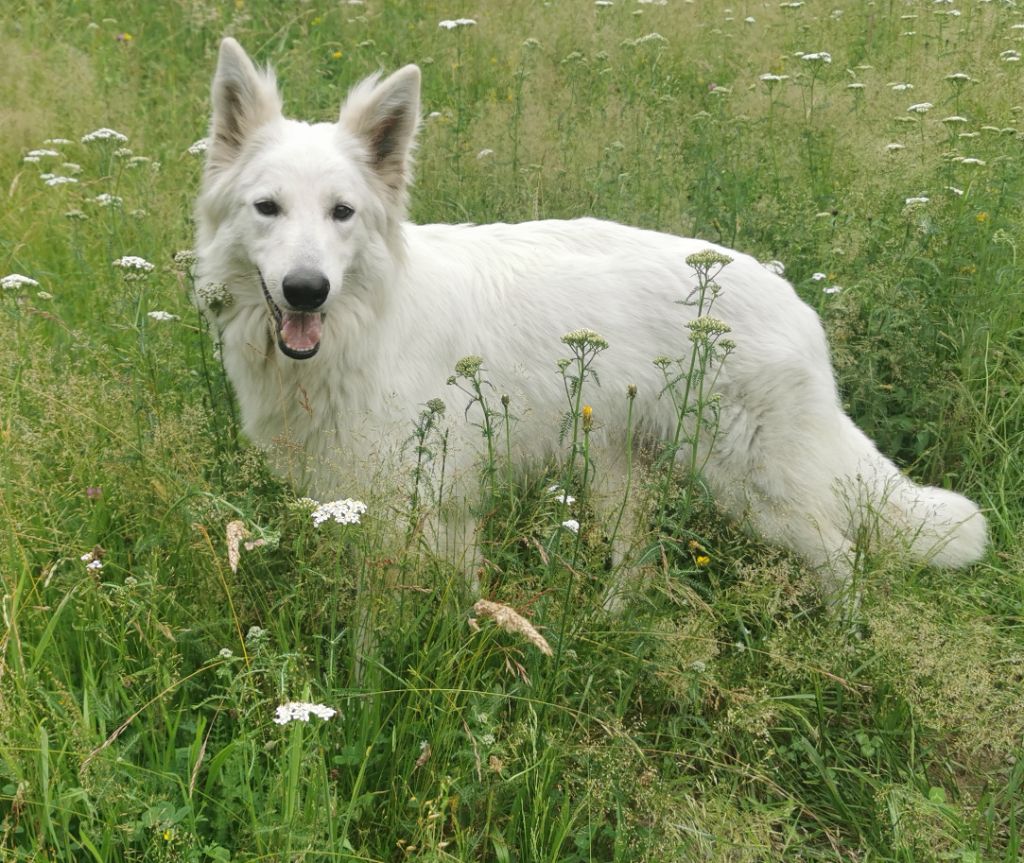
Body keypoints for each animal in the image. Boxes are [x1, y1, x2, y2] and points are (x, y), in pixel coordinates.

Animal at [192, 42, 983, 593]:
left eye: (342, 213)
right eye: (268, 208)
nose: (306, 291)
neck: (364, 328)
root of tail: (796, 303)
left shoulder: (422, 507)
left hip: (757, 491)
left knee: (843, 560)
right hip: (620, 475)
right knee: (641, 563)